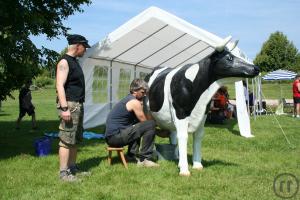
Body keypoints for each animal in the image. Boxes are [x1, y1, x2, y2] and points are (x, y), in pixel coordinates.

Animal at [145, 40, 258, 175]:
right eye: (230, 58)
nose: (256, 68)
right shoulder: (180, 112)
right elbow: (183, 136)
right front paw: (184, 170)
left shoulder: (203, 113)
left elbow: (198, 136)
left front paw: (197, 164)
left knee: (173, 136)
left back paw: (177, 157)